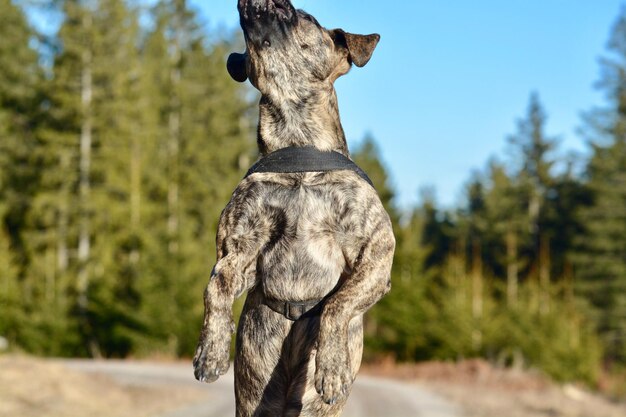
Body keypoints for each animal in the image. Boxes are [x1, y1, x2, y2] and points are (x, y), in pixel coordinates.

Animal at [193, 1, 392, 414]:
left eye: (306, 18)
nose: (275, 2)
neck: (297, 142)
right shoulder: (238, 249)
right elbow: (216, 287)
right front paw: (210, 352)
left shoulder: (377, 255)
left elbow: (338, 305)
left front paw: (331, 366)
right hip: (255, 390)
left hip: (312, 404)